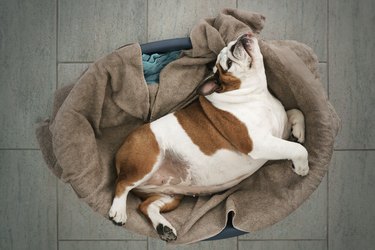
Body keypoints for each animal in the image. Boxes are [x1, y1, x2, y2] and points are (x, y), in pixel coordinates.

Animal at [108, 32, 308, 241]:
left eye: (230, 46)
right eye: (228, 63)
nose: (239, 40)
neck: (255, 94)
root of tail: (120, 151)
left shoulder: (279, 129)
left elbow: (296, 112)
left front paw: (299, 132)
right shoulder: (258, 143)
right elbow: (299, 149)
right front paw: (302, 167)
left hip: (169, 195)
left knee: (146, 205)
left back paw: (163, 227)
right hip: (146, 161)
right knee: (122, 184)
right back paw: (118, 212)